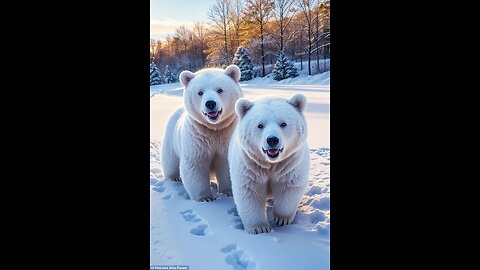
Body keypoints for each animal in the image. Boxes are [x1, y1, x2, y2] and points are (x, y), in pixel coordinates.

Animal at [161, 64, 244, 201]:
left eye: (220, 90)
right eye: (200, 92)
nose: (210, 103)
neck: (214, 128)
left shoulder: (226, 135)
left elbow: (225, 163)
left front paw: (227, 191)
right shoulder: (197, 138)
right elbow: (195, 164)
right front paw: (205, 197)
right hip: (171, 137)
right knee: (170, 160)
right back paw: (173, 177)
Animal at [228, 94, 310, 233]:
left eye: (283, 123)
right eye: (260, 125)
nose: (272, 140)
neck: (271, 163)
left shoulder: (290, 165)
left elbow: (289, 188)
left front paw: (282, 219)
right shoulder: (250, 166)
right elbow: (250, 192)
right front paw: (260, 228)